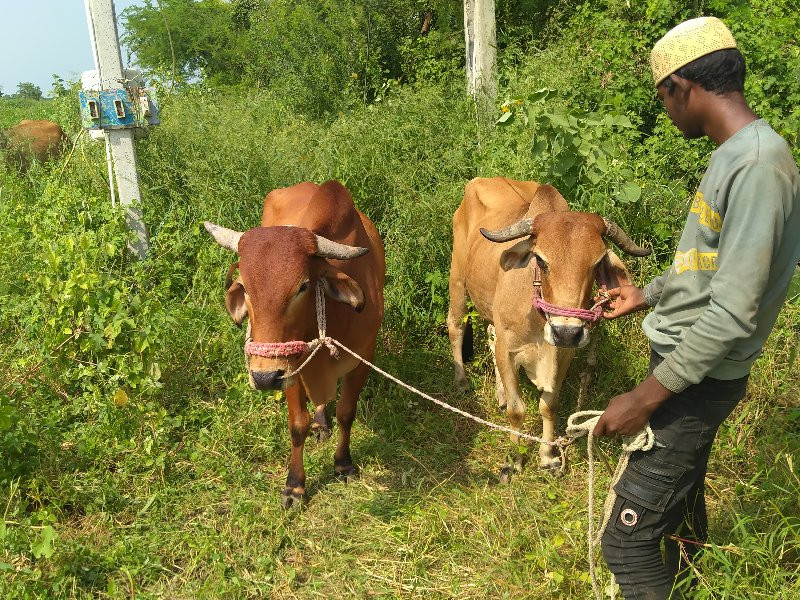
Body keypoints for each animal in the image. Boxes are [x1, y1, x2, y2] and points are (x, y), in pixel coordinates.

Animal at [203, 179, 384, 506]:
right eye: (245, 287)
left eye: (303, 286)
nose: (263, 377)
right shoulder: (289, 370)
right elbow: (297, 425)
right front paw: (295, 485)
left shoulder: (364, 356)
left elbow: (346, 412)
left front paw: (343, 463)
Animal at [450, 177, 648, 478]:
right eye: (541, 260)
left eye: (596, 264)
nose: (566, 332)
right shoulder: (509, 351)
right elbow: (518, 411)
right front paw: (513, 460)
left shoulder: (563, 354)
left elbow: (549, 406)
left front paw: (548, 457)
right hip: (458, 280)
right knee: (456, 327)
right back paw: (462, 381)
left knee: (489, 334)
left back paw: (500, 393)